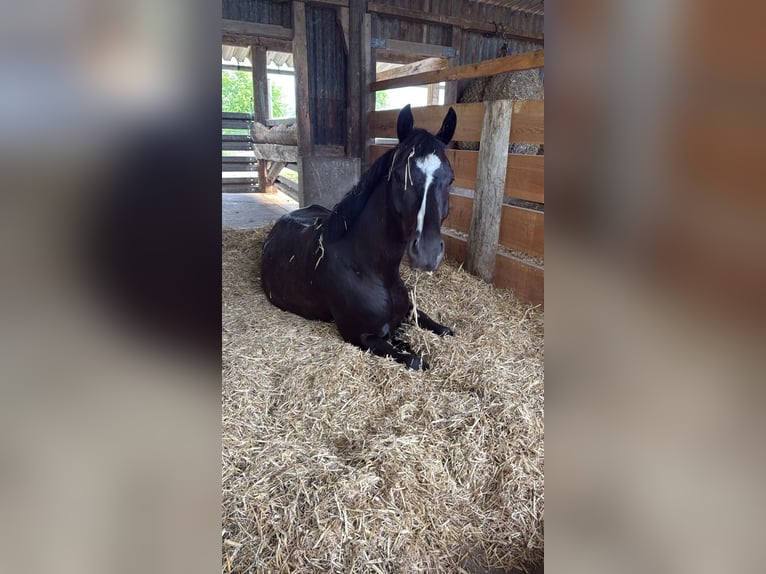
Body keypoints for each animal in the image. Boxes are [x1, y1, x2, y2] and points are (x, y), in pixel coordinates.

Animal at [261, 105, 457, 370]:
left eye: (451, 179)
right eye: (399, 176)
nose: (428, 254)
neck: (373, 271)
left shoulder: (409, 311)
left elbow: (443, 329)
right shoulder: (361, 336)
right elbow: (416, 360)